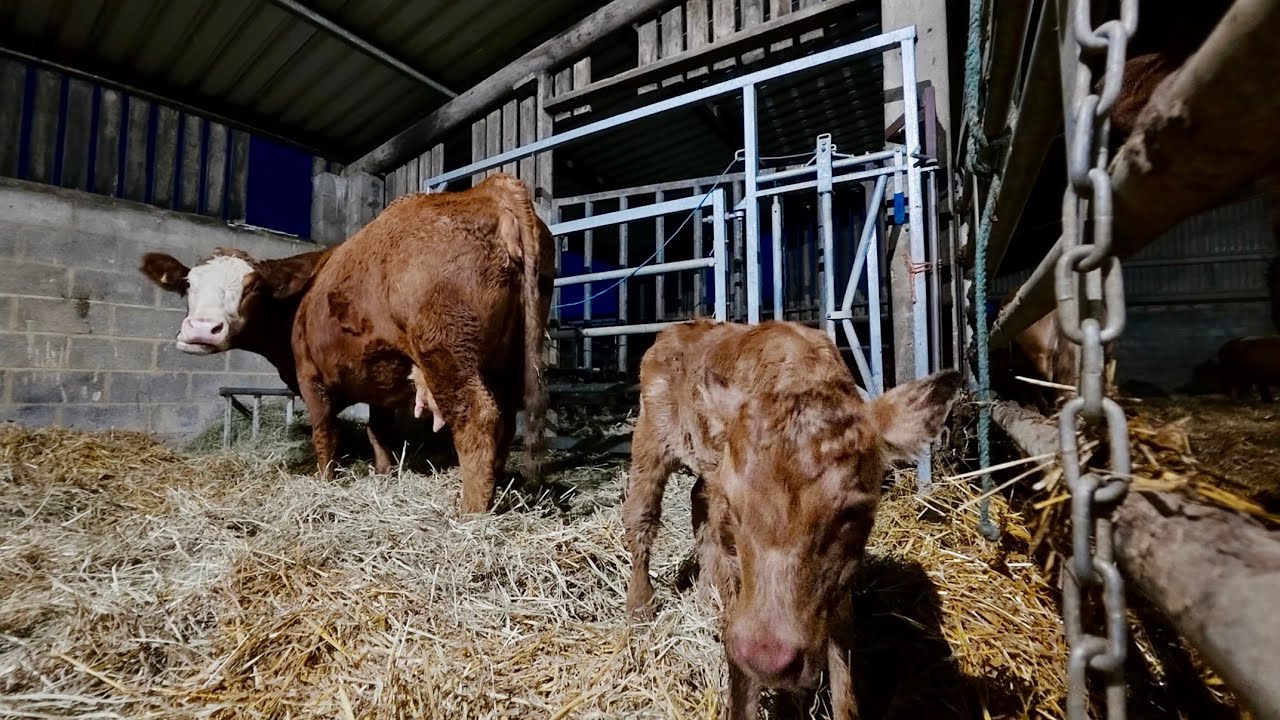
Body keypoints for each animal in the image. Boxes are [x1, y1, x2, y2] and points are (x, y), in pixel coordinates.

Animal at [138, 173, 555, 513]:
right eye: (187, 284)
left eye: (252, 286)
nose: (201, 329)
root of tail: (488, 188)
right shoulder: (380, 383)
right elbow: (378, 432)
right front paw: (385, 474)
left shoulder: (310, 377)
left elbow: (326, 434)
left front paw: (326, 480)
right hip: (509, 362)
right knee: (506, 422)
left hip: (447, 352)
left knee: (478, 418)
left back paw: (471, 513)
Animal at [621, 319, 961, 720]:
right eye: (736, 511)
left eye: (853, 511)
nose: (768, 659)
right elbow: (740, 680)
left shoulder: (840, 577)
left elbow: (844, 677)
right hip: (650, 437)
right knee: (641, 516)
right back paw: (640, 608)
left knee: (698, 502)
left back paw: (703, 595)